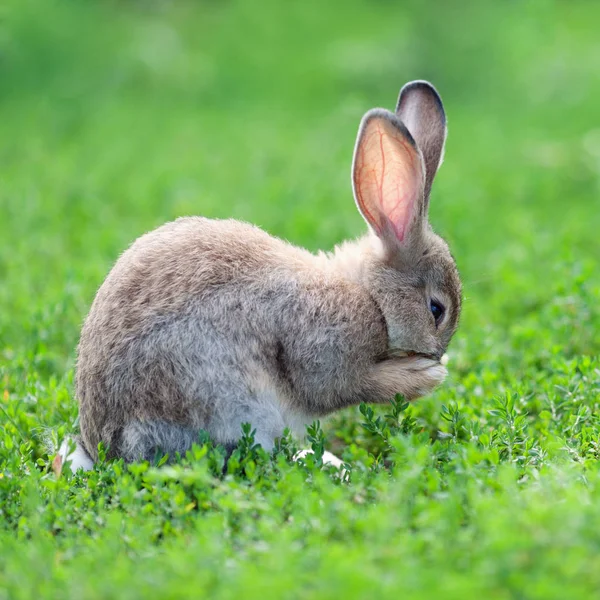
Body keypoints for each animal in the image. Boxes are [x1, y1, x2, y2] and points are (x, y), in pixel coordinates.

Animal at [61, 79, 462, 472]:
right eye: (436, 310)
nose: (437, 355)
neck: (368, 294)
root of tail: (103, 452)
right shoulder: (323, 349)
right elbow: (339, 386)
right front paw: (425, 377)